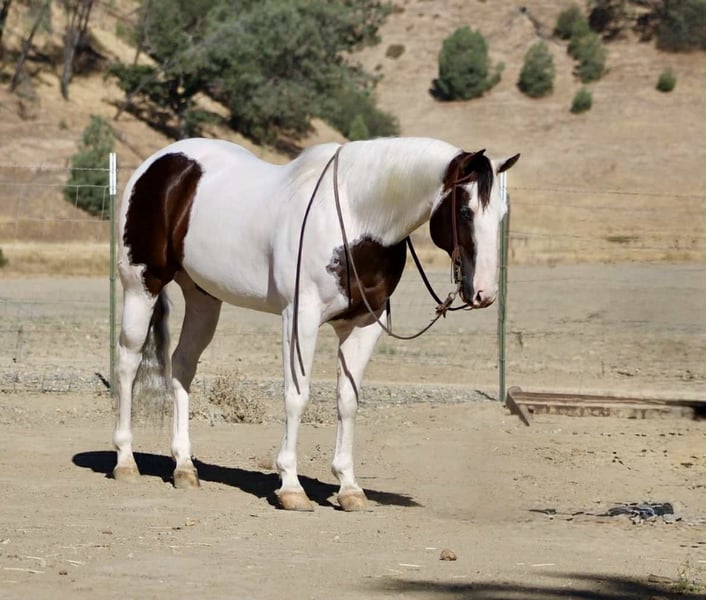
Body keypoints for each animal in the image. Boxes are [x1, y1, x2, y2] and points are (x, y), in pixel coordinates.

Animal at [113, 136, 519, 511]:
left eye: (501, 213)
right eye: (464, 211)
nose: (483, 293)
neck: (356, 218)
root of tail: (157, 163)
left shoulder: (365, 325)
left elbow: (348, 400)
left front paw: (349, 487)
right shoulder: (300, 318)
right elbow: (297, 396)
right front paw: (291, 487)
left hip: (203, 298)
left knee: (182, 365)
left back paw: (184, 467)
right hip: (141, 286)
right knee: (128, 363)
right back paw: (125, 461)